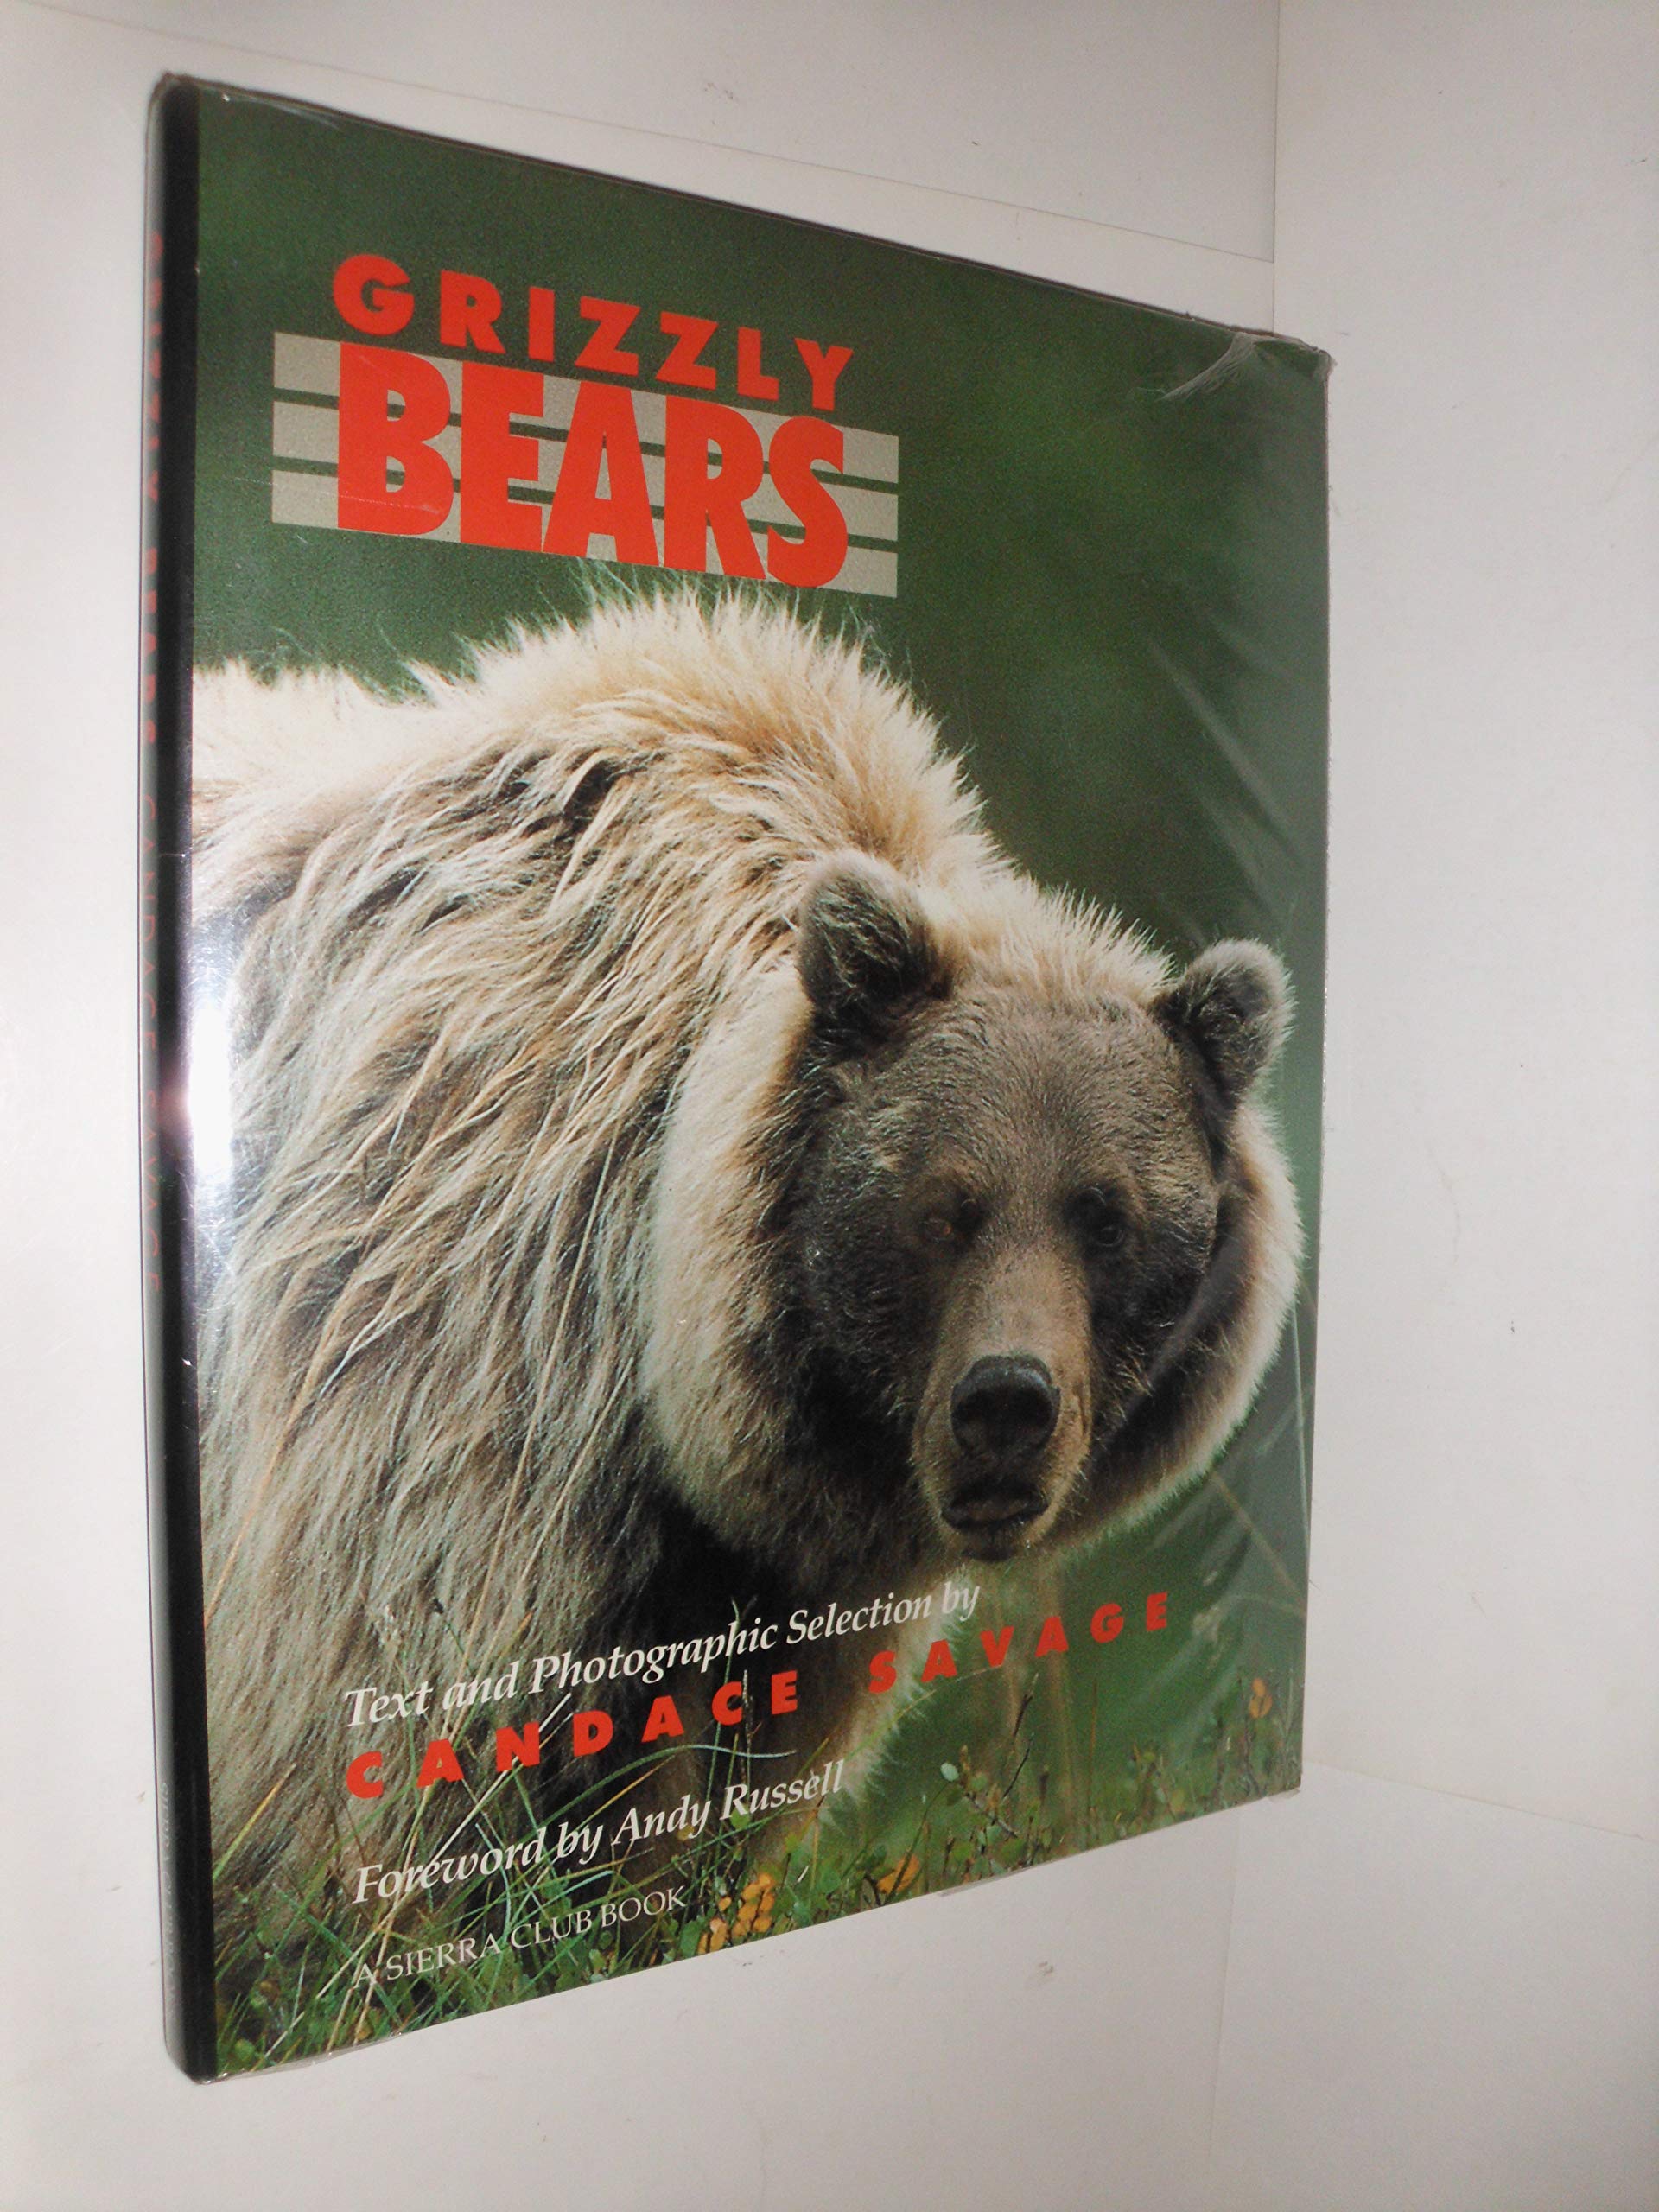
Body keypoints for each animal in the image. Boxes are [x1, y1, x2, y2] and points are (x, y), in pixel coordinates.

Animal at [190, 590, 1299, 1909]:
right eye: (945, 1207)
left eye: (1107, 1213)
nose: (1008, 1405)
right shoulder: (459, 1338)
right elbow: (395, 1734)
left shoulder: (773, 1578)